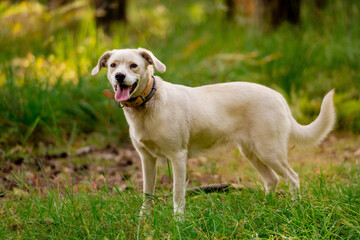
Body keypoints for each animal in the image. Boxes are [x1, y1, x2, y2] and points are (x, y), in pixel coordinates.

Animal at [91, 47, 336, 217]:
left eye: (133, 65)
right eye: (113, 65)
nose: (119, 76)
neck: (147, 105)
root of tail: (279, 97)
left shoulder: (178, 157)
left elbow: (177, 194)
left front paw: (178, 221)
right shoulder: (147, 159)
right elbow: (147, 194)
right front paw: (145, 220)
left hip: (270, 151)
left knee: (293, 178)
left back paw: (295, 208)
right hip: (252, 152)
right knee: (272, 180)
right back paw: (266, 207)